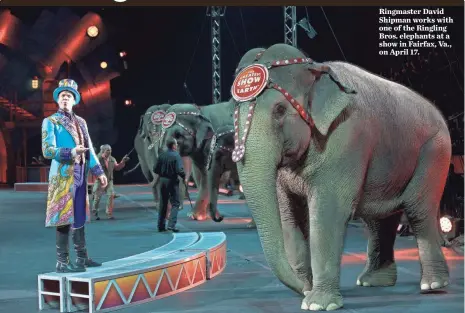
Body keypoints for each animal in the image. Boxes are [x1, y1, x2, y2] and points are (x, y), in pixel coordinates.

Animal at [231, 43, 450, 310]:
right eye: (233, 112)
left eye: (280, 110)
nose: (302, 289)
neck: (315, 69)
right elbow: (290, 215)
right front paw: (307, 294)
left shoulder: (346, 138)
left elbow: (329, 211)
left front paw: (317, 304)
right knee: (379, 219)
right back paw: (373, 282)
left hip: (434, 152)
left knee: (418, 211)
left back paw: (433, 285)